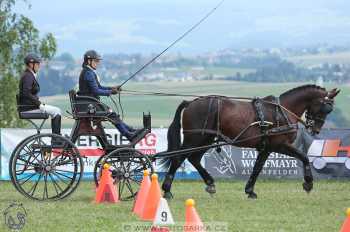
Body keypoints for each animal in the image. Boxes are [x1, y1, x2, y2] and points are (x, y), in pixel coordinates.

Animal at [161, 85, 340, 199]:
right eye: (326, 108)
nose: (315, 130)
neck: (282, 111)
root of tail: (190, 103)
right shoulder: (279, 145)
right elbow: (304, 156)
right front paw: (308, 183)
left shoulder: (266, 148)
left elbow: (257, 168)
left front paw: (249, 190)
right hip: (195, 138)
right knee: (178, 158)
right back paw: (167, 190)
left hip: (206, 138)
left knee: (194, 158)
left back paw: (210, 183)